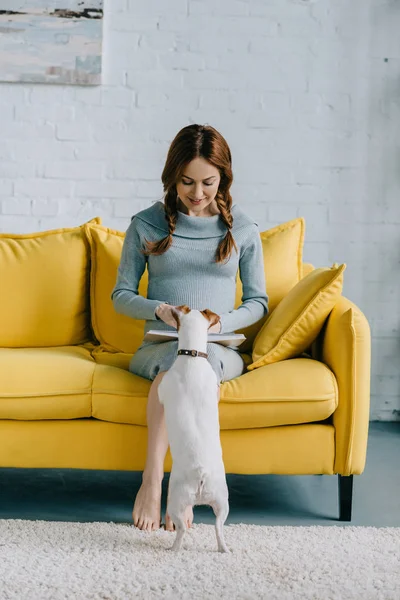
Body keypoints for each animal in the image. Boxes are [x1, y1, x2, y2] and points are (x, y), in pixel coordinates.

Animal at [158, 304, 230, 552]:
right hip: (223, 502)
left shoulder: (163, 389)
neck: (193, 356)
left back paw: (174, 548)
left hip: (175, 501)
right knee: (219, 527)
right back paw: (224, 548)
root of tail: (201, 474)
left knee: (180, 529)